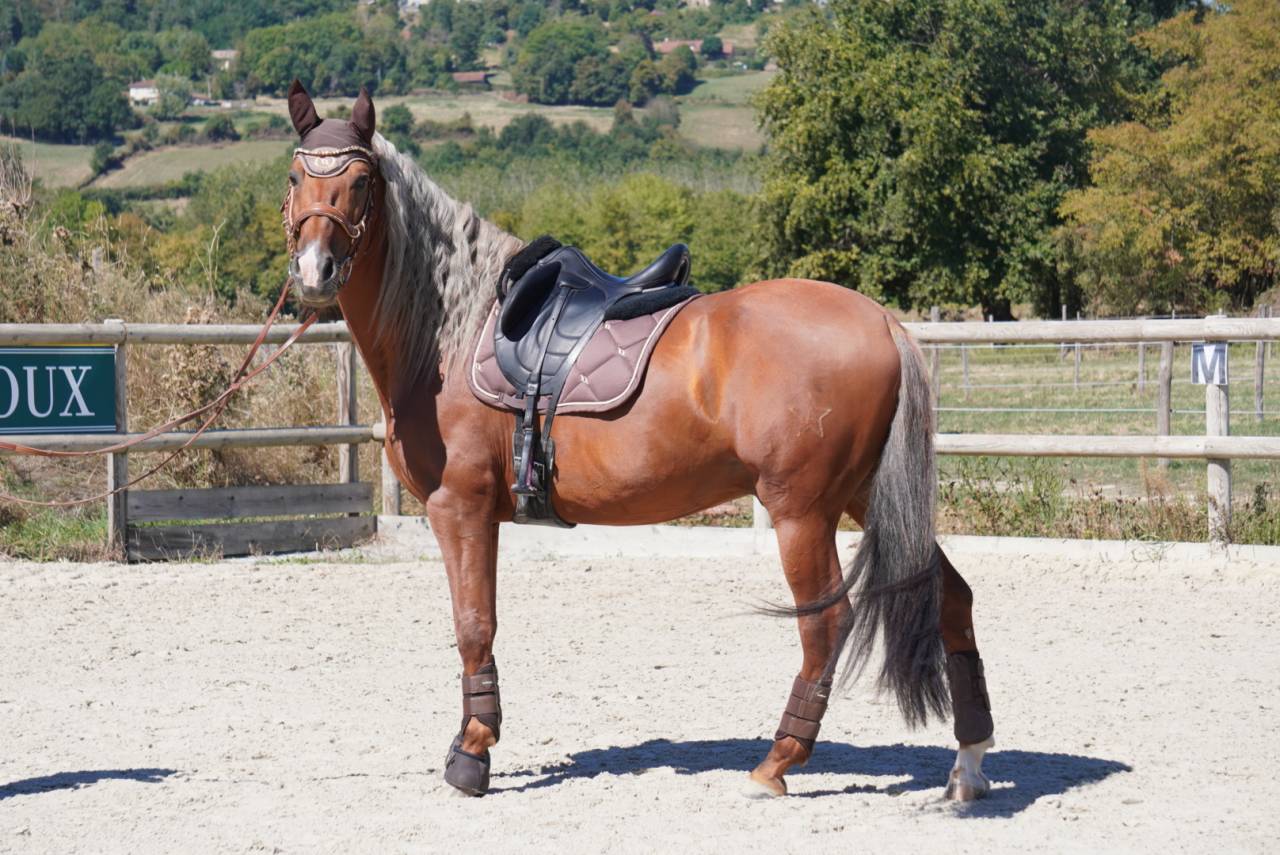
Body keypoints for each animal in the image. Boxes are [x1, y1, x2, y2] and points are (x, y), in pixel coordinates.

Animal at [279, 82, 996, 800]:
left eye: (362, 182)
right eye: (294, 176)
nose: (316, 270)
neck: (452, 329)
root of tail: (883, 322)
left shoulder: (461, 507)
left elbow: (474, 624)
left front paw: (471, 754)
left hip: (803, 511)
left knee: (826, 622)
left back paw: (777, 761)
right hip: (867, 497)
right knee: (950, 595)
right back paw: (968, 762)